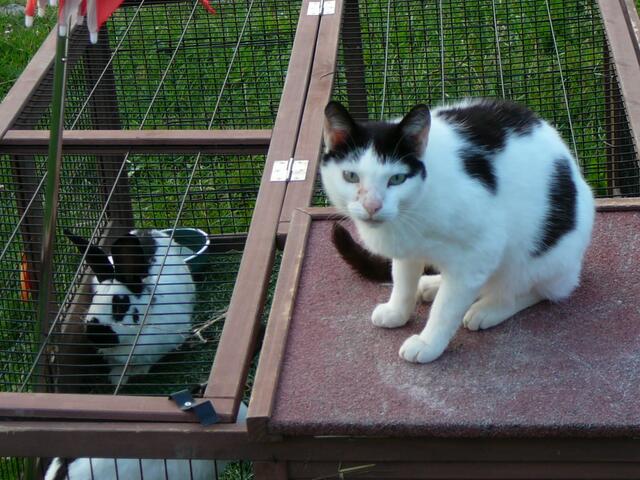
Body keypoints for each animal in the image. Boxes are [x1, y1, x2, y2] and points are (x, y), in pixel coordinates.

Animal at [65, 229, 197, 385]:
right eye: (94, 299)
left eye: (120, 306)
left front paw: (136, 372)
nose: (95, 335)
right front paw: (116, 377)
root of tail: (149, 231)